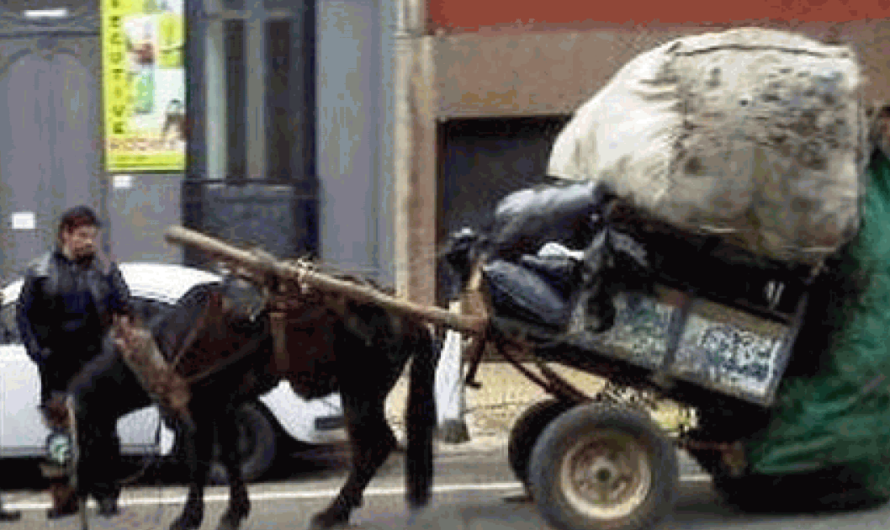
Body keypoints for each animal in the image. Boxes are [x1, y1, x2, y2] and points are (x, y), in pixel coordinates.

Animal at [64, 268, 438, 528]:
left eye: (85, 432)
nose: (80, 493)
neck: (171, 342)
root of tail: (411, 318)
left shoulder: (200, 408)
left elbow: (200, 461)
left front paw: (189, 517)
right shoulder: (225, 406)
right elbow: (230, 455)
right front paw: (235, 511)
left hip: (359, 393)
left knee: (373, 447)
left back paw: (333, 513)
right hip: (362, 394)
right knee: (372, 447)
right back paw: (343, 509)